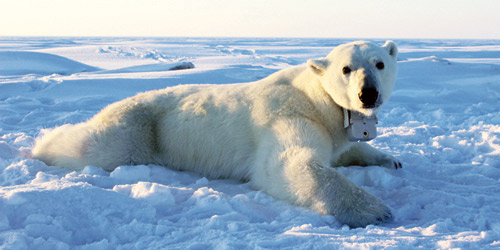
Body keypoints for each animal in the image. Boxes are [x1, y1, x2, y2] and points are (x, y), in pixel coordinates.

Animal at [32, 40, 402, 228]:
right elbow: (288, 164)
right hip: (139, 129)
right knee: (94, 145)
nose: (368, 94)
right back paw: (41, 143)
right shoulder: (289, 115)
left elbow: (346, 149)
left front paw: (390, 160)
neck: (316, 98)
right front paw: (375, 210)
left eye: (380, 63)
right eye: (346, 68)